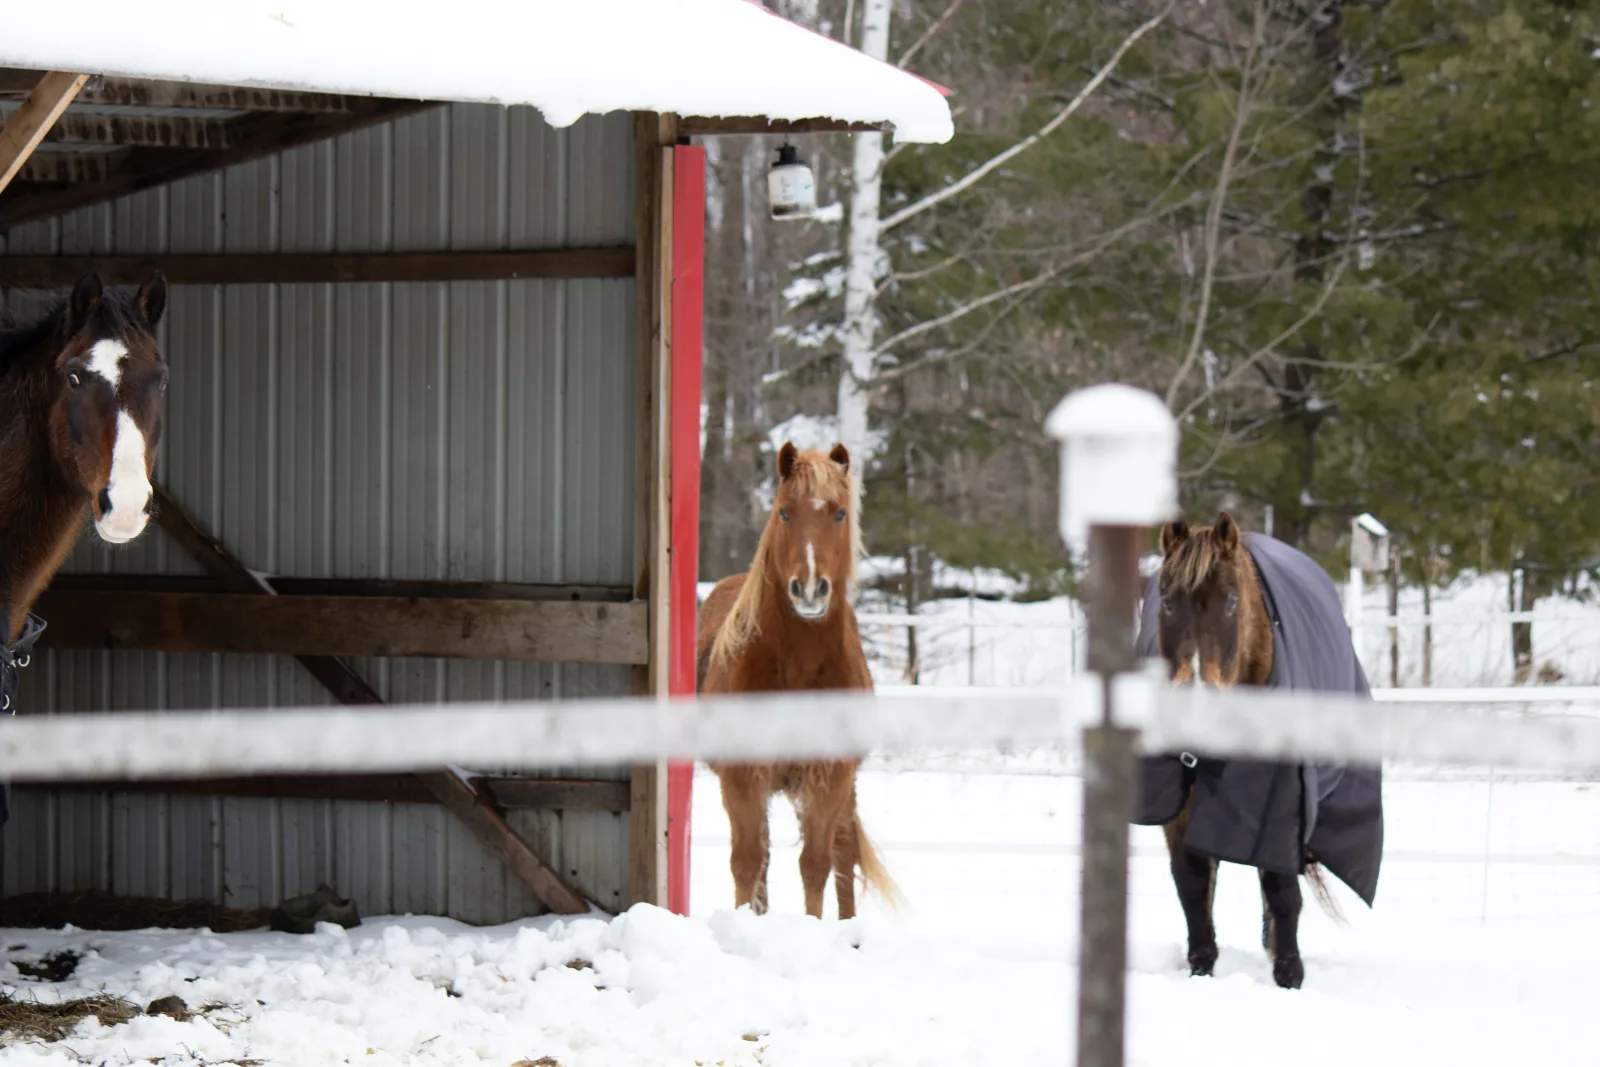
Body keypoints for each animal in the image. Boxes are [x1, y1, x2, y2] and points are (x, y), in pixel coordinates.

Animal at [697, 441, 902, 919]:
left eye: (840, 513)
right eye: (785, 512)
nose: (809, 590)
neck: (797, 670)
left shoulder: (829, 778)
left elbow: (816, 864)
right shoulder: (742, 779)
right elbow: (748, 861)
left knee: (844, 851)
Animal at [1138, 512, 1383, 990]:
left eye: (1232, 602)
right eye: (1167, 601)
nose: (1197, 702)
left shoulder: (1282, 803)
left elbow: (1281, 887)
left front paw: (1288, 974)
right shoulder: (1179, 809)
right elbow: (1192, 884)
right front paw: (1201, 967)